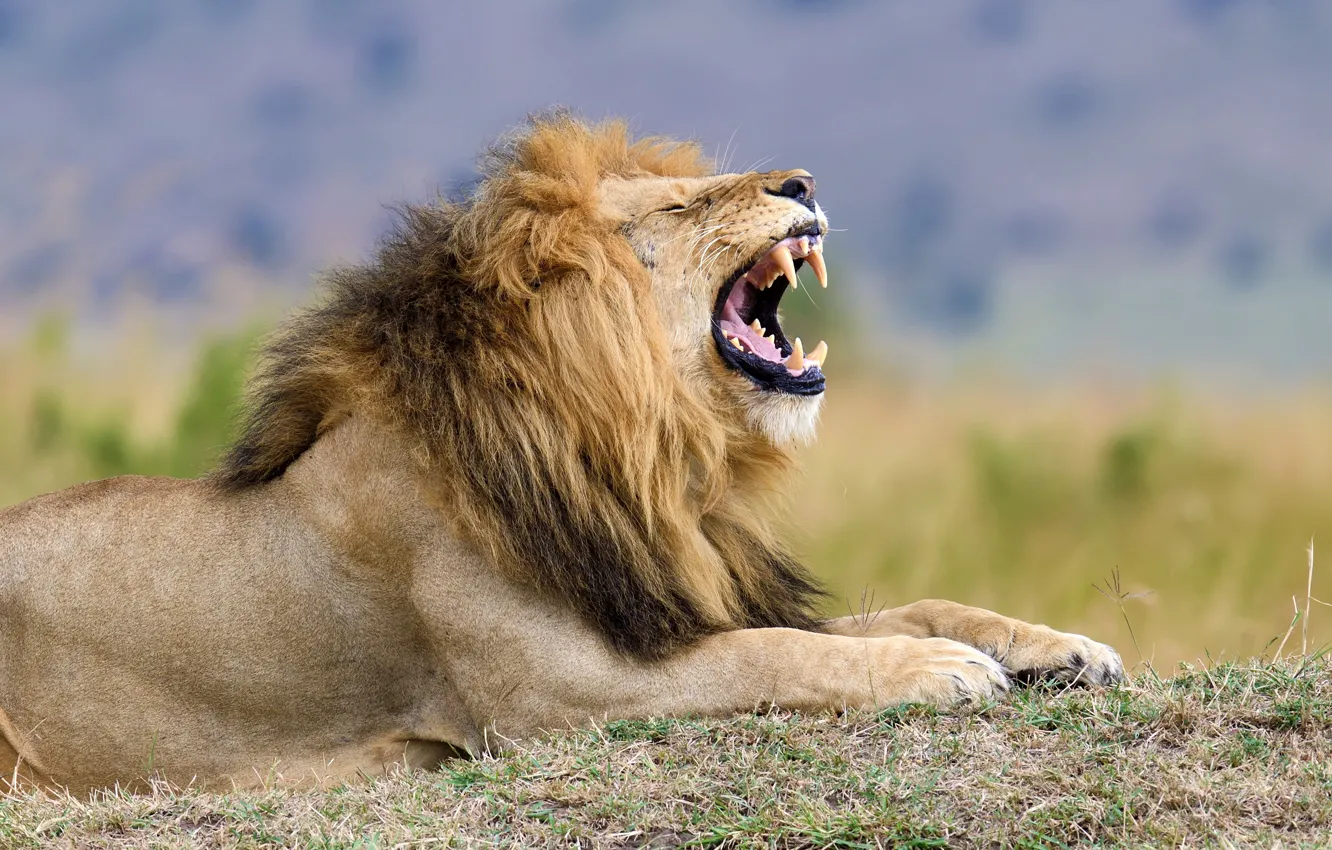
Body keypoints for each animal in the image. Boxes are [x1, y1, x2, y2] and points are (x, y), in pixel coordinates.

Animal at [0, 114, 1123, 794]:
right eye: (678, 207)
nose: (803, 178)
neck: (654, 459)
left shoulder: (669, 598)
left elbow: (898, 607)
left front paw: (1053, 644)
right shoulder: (561, 694)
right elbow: (779, 652)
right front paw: (939, 671)